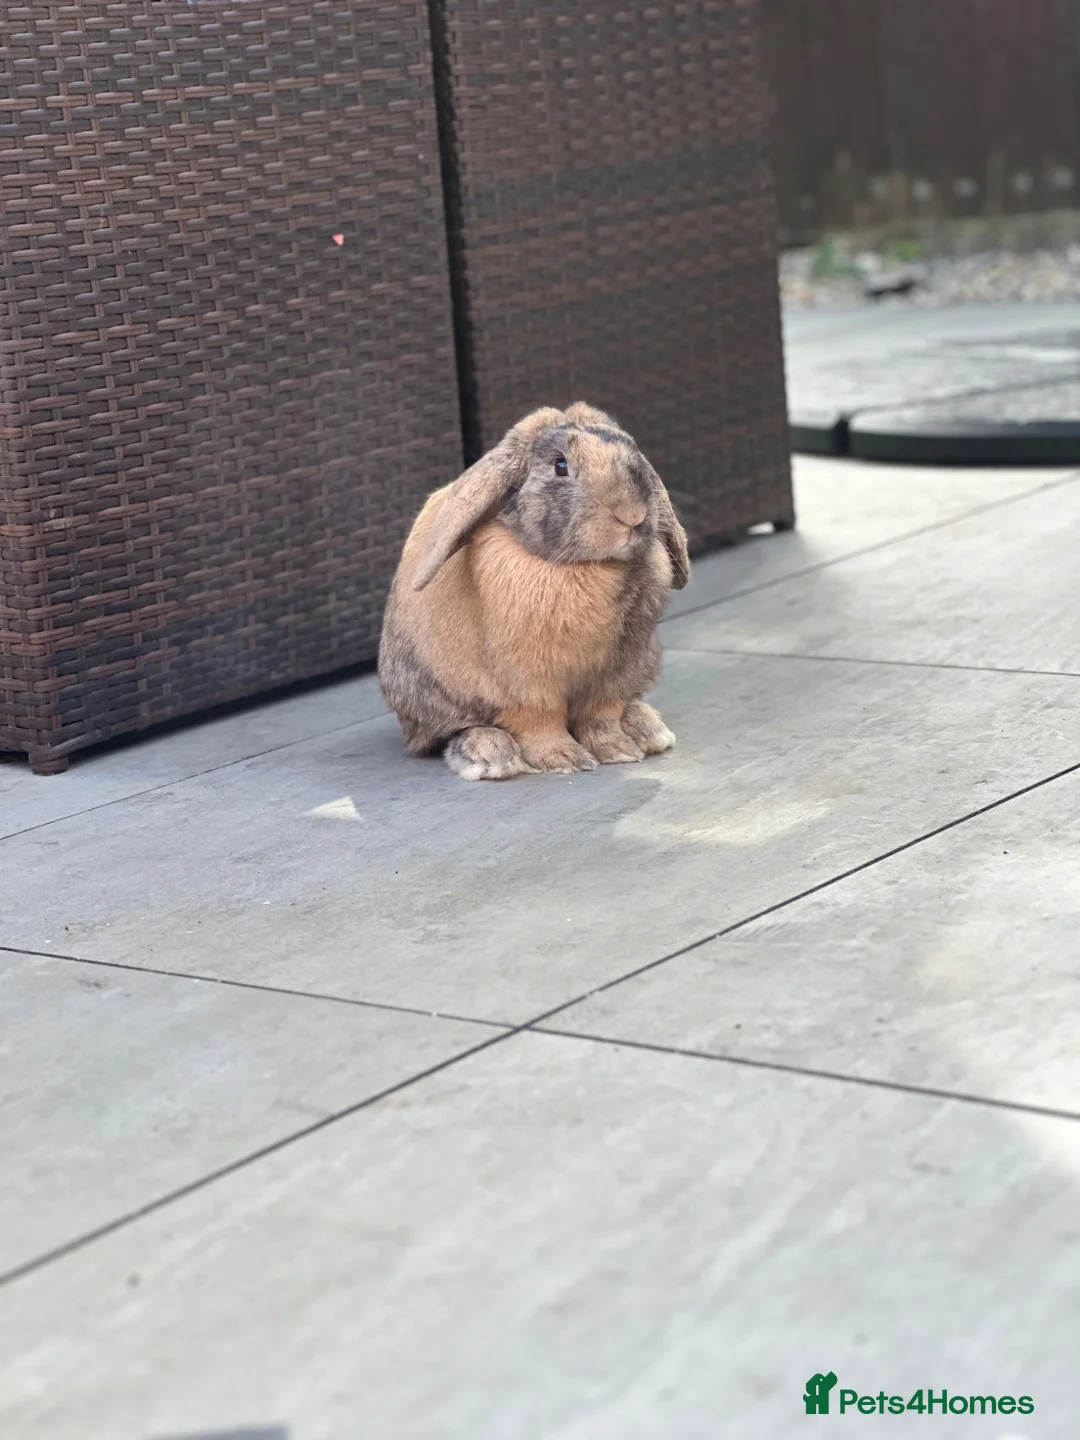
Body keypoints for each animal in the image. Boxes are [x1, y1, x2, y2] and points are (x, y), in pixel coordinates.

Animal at [378, 402, 690, 780]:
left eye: (634, 454)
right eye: (560, 465)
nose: (631, 514)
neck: (587, 566)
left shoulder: (610, 680)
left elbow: (601, 718)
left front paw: (618, 752)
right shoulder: (528, 687)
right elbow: (541, 723)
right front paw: (564, 760)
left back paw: (648, 729)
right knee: (455, 731)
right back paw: (492, 757)